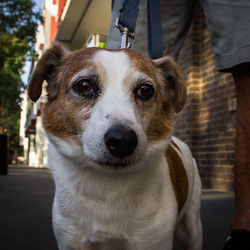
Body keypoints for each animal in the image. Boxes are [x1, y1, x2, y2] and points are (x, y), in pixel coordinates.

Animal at [28, 43, 202, 250]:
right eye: (84, 85)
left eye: (145, 90)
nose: (123, 140)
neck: (107, 185)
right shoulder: (71, 241)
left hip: (192, 227)